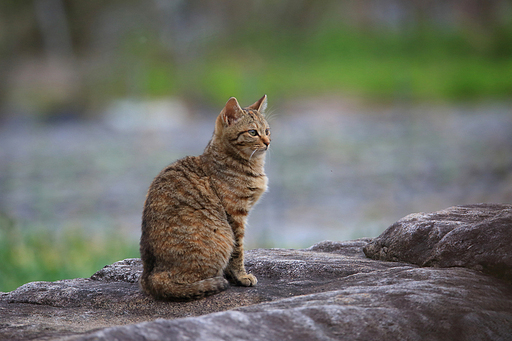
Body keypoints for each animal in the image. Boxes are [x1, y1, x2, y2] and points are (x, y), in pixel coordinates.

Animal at [138, 94, 270, 298]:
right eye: (253, 132)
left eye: (267, 131)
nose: (268, 142)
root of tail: (149, 278)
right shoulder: (235, 215)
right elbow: (238, 252)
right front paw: (241, 276)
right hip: (221, 237)